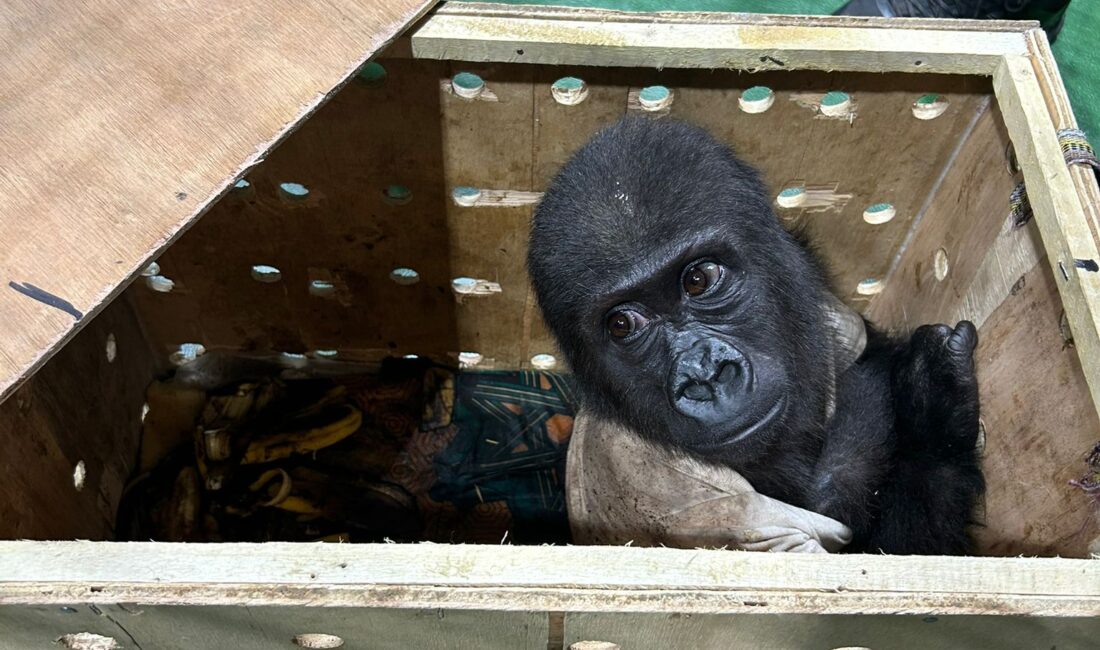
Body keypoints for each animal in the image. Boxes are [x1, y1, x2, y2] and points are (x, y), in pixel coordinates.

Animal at [527, 116, 984, 555]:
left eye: (698, 279)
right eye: (622, 324)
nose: (705, 374)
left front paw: (929, 396)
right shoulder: (698, 503)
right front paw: (934, 416)